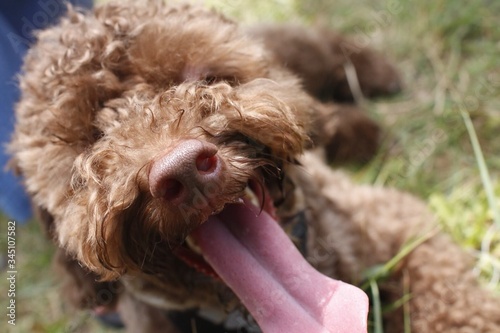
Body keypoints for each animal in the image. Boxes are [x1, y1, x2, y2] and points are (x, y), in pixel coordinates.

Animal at [8, 0, 500, 332]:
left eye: (201, 77)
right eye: (90, 140)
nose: (183, 170)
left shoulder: (396, 223)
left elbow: (450, 302)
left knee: (325, 44)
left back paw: (376, 76)